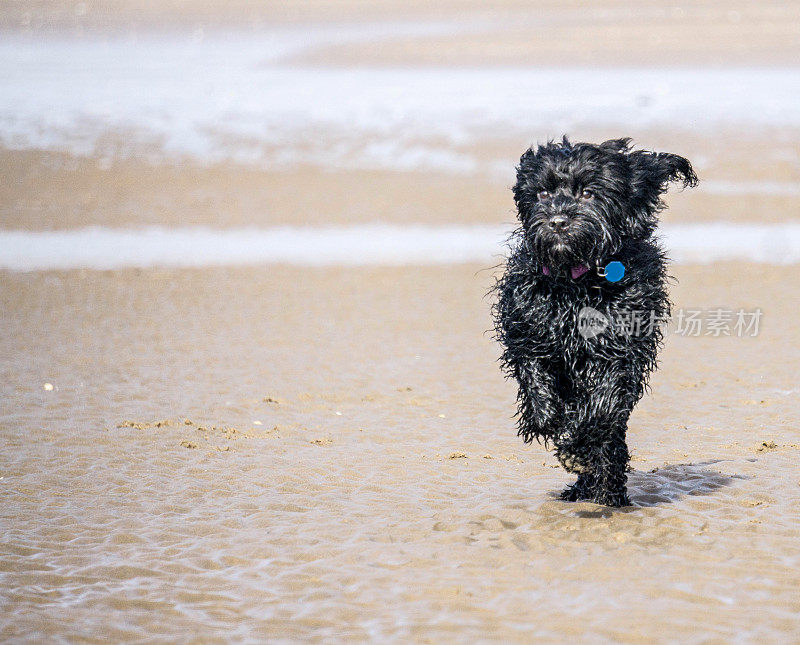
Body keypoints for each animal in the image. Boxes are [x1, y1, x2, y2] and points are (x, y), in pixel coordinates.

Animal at [490, 136, 696, 506]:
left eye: (587, 193)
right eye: (543, 193)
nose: (558, 221)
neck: (576, 282)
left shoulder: (620, 349)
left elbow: (603, 406)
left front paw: (577, 447)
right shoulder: (527, 327)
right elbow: (534, 374)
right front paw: (547, 418)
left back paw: (606, 489)